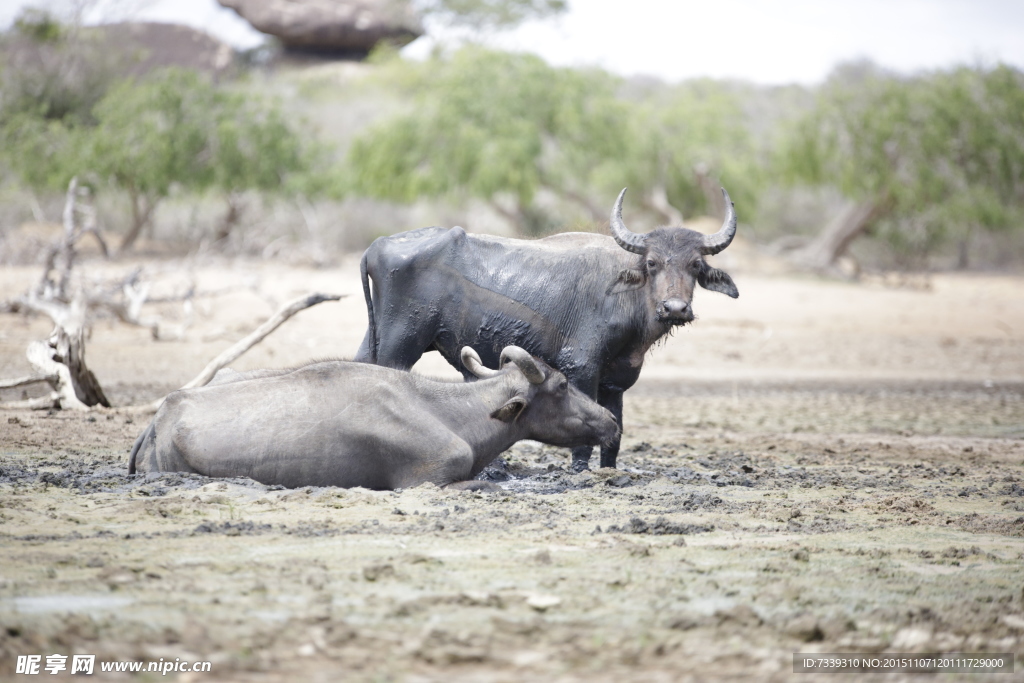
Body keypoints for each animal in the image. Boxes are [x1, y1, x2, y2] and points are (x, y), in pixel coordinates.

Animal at [356, 189, 741, 473]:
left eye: (696, 265)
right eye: (652, 262)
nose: (675, 308)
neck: (626, 301)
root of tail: (377, 245)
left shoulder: (616, 382)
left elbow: (614, 435)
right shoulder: (581, 368)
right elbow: (584, 440)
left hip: (375, 338)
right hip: (400, 344)